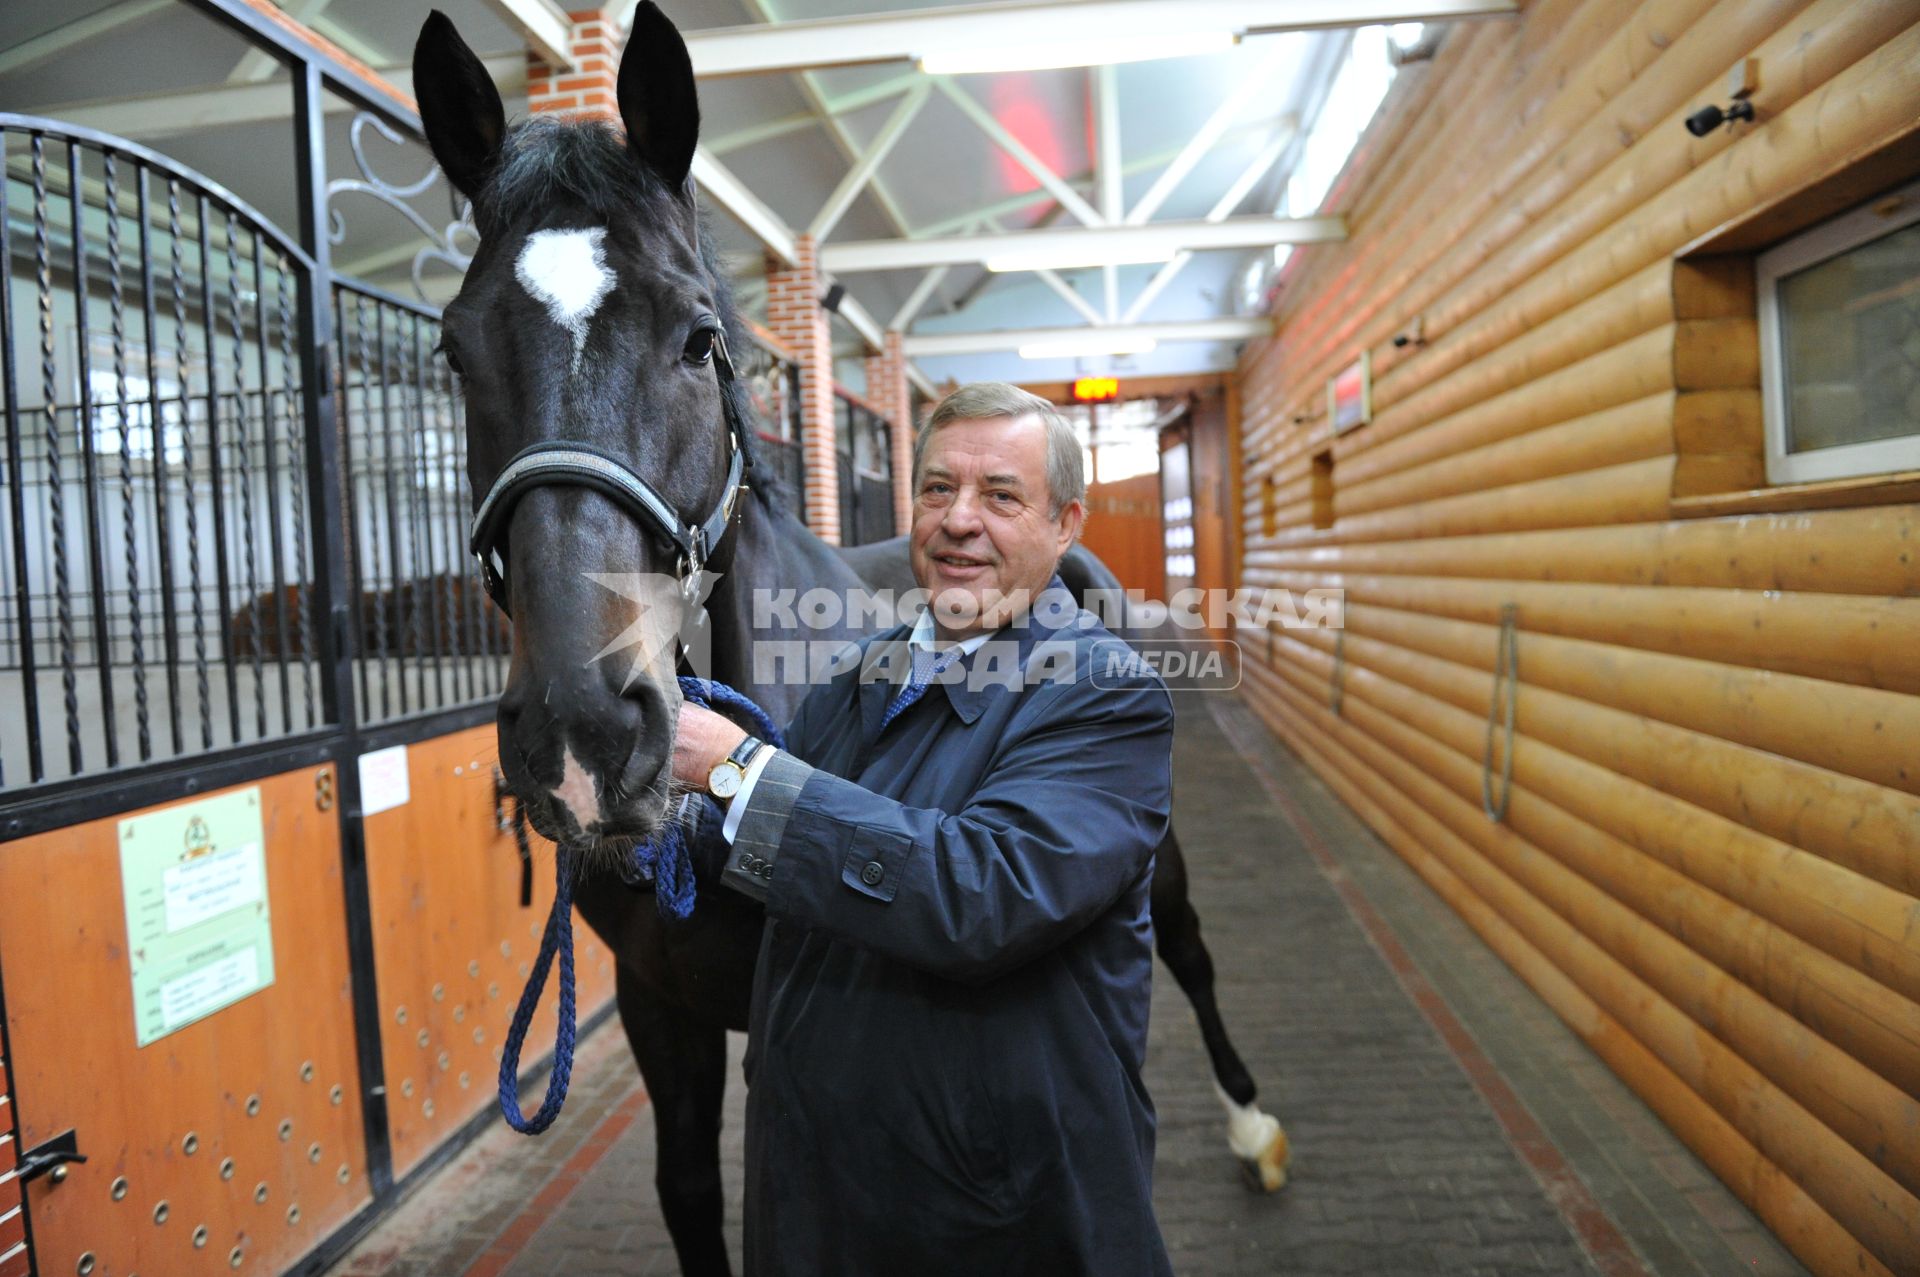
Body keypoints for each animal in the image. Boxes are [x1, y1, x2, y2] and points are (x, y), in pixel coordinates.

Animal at [420, 7, 1290, 1267]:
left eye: (698, 337)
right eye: (453, 347)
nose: (584, 730)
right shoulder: (663, 1009)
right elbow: (690, 1191)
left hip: (1158, 861)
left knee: (1188, 949)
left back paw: (1252, 1122)